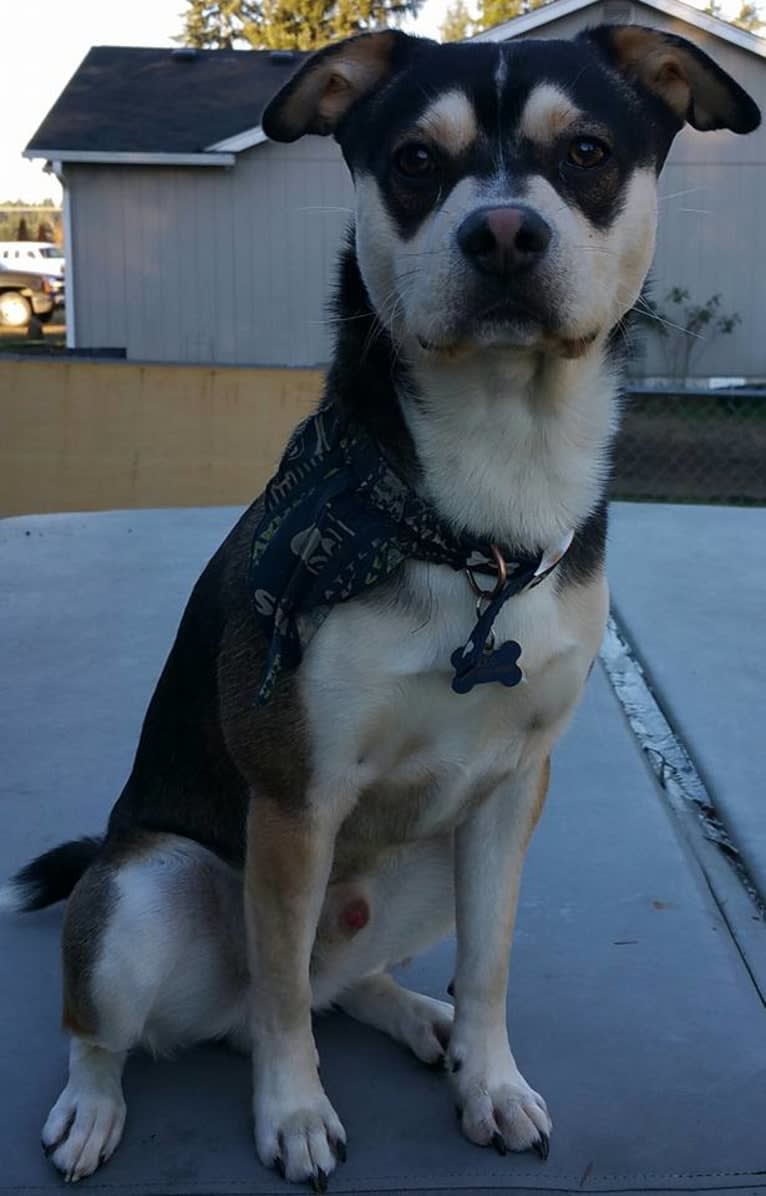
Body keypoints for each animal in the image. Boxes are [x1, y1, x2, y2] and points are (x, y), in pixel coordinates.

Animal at [1, 23, 761, 1191]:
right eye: (414, 161)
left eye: (586, 151)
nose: (504, 232)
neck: (489, 499)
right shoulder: (296, 799)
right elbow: (278, 994)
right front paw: (293, 1113)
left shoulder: (512, 790)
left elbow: (489, 964)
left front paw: (488, 1079)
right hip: (143, 889)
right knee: (126, 1019)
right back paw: (91, 1109)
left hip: (429, 855)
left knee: (338, 985)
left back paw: (416, 1017)